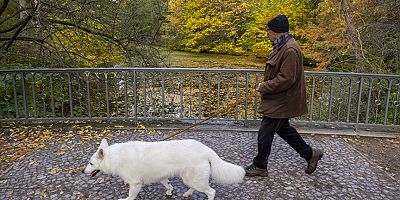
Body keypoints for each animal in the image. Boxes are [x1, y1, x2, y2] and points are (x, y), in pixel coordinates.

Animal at [83, 139, 245, 200]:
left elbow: (130, 196)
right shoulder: (161, 176)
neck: (115, 157)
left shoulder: (135, 183)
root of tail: (206, 149)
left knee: (211, 192)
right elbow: (167, 184)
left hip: (193, 178)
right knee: (195, 188)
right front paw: (169, 191)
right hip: (190, 178)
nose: (82, 172)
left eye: (91, 164)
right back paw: (187, 193)